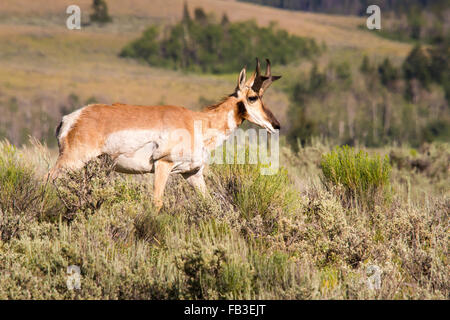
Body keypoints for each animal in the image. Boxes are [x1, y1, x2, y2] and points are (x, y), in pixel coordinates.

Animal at [50, 57, 282, 209]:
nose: (276, 125)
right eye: (252, 97)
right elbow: (157, 203)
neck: (196, 122)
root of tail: (70, 118)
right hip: (71, 161)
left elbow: (209, 203)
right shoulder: (163, 165)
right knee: (48, 179)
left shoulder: (192, 173)